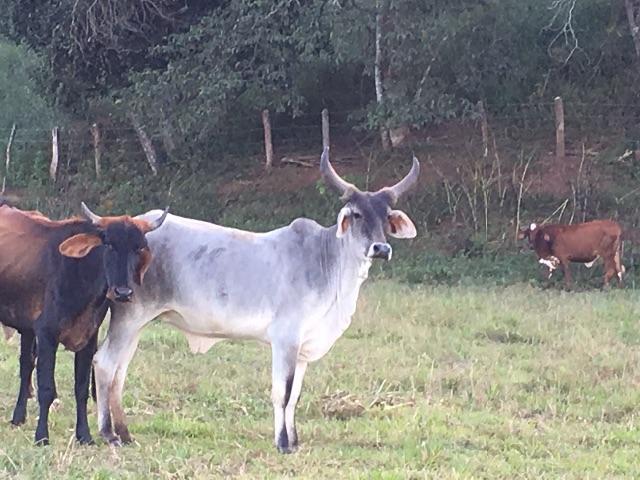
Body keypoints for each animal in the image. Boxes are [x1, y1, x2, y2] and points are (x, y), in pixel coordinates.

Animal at [0, 202, 167, 445]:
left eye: (138, 248)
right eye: (109, 244)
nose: (123, 292)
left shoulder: (89, 338)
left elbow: (81, 389)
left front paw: (84, 435)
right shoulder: (47, 334)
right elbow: (46, 389)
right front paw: (42, 436)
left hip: (27, 330)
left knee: (25, 365)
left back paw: (18, 417)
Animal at [93, 147, 419, 453]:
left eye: (386, 218)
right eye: (357, 214)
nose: (381, 249)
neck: (327, 262)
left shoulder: (302, 349)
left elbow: (295, 396)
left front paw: (294, 440)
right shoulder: (285, 338)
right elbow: (282, 393)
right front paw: (283, 442)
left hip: (136, 323)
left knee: (120, 372)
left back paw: (125, 433)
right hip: (130, 316)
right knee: (105, 363)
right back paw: (109, 433)